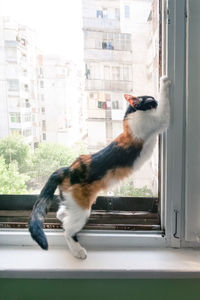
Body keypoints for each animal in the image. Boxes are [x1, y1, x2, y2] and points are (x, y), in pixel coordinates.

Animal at [28, 76, 171, 258]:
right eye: (151, 100)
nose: (155, 101)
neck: (131, 115)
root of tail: (67, 169)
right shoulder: (158, 120)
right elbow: (166, 110)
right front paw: (165, 82)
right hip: (81, 210)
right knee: (67, 230)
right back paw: (77, 251)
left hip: (71, 202)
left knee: (62, 213)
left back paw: (63, 217)